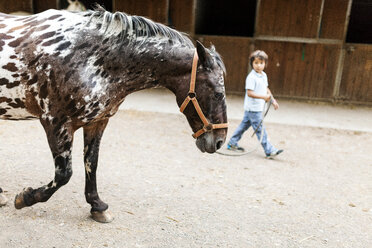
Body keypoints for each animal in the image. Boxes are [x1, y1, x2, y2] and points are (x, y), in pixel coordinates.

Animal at [0, 6, 227, 223]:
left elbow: (92, 163)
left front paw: (97, 206)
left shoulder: (97, 122)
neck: (89, 56)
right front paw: (25, 197)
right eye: (218, 93)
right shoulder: (56, 124)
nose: (219, 141)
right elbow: (64, 174)